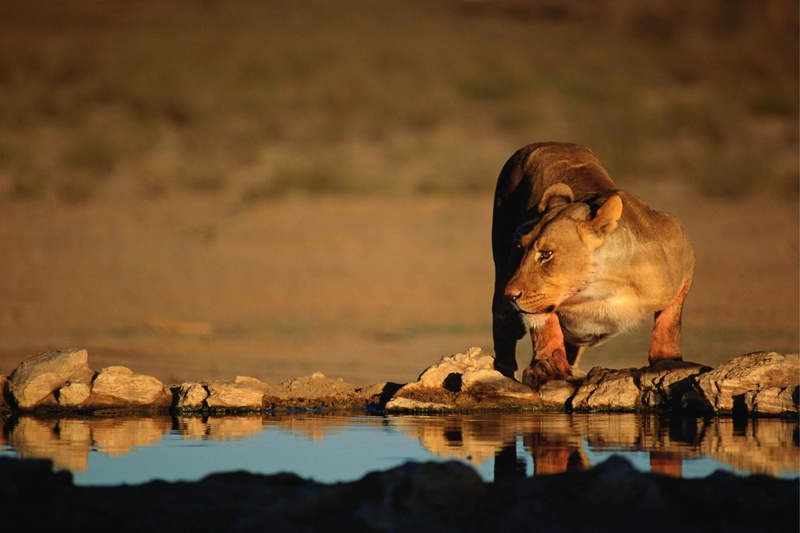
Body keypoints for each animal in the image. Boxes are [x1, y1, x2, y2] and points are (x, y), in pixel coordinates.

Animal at [491, 142, 695, 388]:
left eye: (546, 254)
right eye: (521, 249)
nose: (511, 294)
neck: (600, 287)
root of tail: (547, 143)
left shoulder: (682, 252)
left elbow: (670, 320)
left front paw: (668, 360)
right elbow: (545, 325)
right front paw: (546, 367)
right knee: (503, 331)